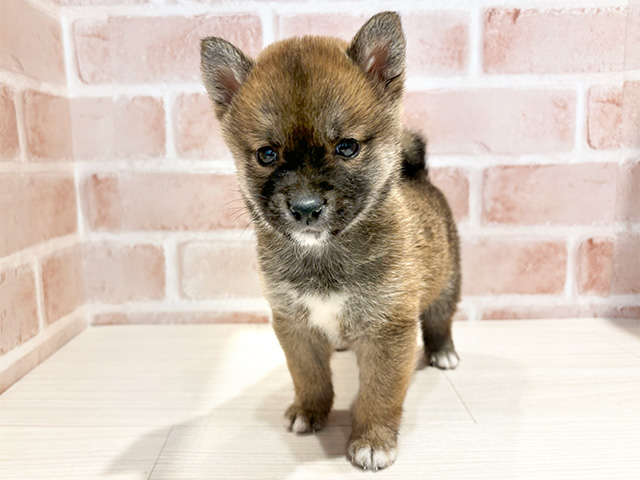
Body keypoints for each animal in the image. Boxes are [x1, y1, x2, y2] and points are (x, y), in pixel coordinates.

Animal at [200, 12, 460, 472]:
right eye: (267, 154)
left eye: (347, 147)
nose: (305, 208)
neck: (323, 254)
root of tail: (420, 175)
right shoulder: (294, 325)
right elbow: (309, 377)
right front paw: (309, 411)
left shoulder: (389, 331)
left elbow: (379, 394)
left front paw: (372, 440)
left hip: (446, 283)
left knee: (440, 321)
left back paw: (443, 352)